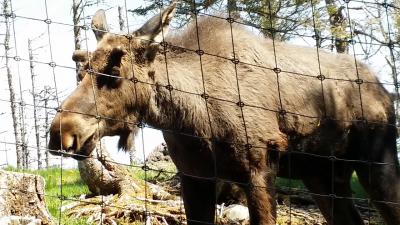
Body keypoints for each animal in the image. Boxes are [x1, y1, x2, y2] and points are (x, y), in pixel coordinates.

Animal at [49, 2, 400, 225]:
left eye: (115, 72)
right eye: (83, 69)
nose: (61, 132)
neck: (189, 119)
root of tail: (384, 91)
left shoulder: (258, 170)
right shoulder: (196, 177)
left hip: (377, 161)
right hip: (322, 175)